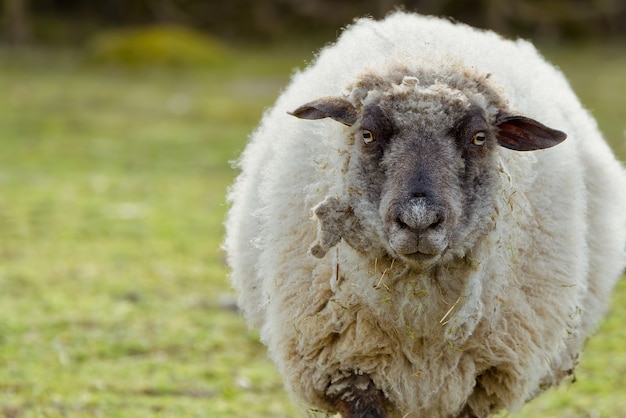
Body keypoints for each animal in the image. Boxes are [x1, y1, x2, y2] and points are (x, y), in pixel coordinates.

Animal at [223, 10, 624, 418]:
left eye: (480, 138)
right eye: (367, 134)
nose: (418, 220)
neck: (419, 321)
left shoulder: (480, 383)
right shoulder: (349, 371)